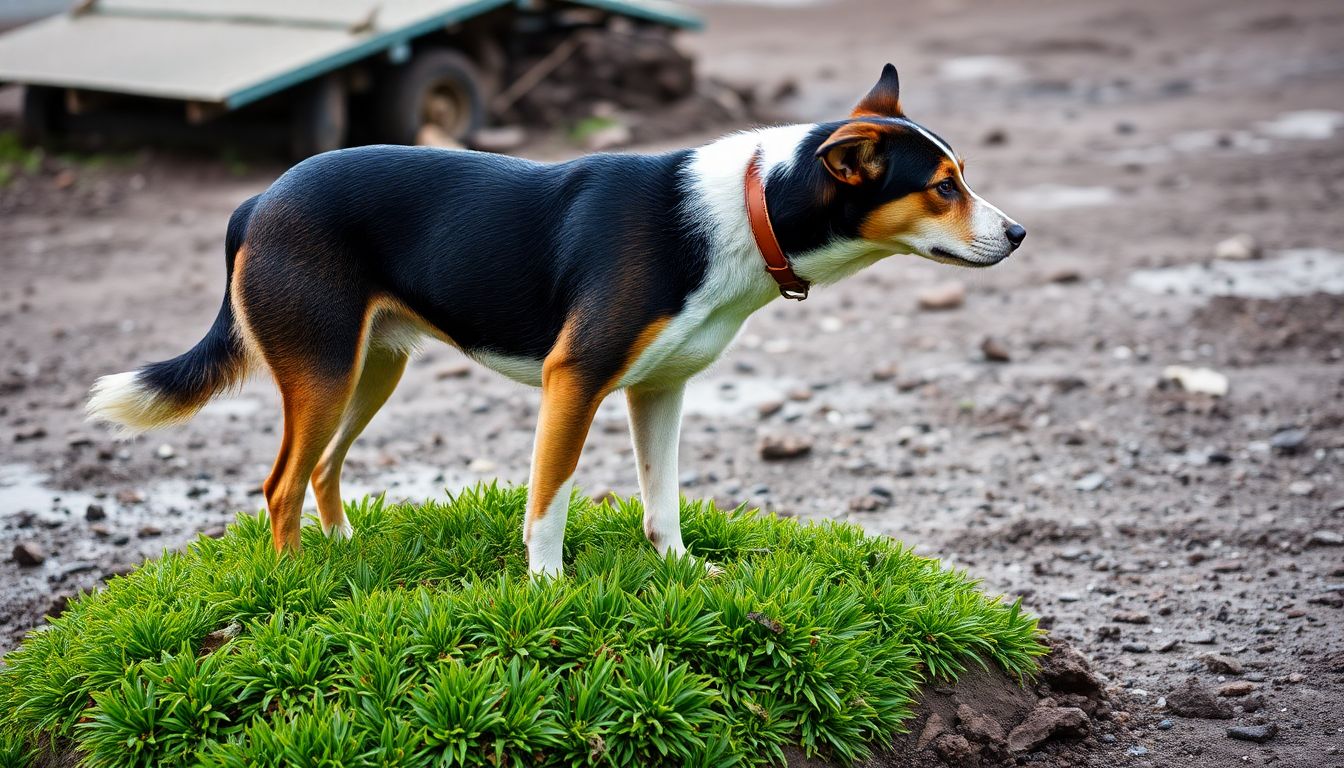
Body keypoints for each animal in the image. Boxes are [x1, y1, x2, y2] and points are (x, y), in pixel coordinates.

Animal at [84, 63, 1021, 572]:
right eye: (943, 188)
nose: (1017, 233)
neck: (747, 208)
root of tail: (259, 200)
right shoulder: (576, 381)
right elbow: (549, 501)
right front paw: (546, 589)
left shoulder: (660, 392)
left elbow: (663, 498)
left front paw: (682, 573)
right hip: (320, 370)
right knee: (280, 484)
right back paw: (297, 584)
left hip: (366, 371)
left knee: (319, 471)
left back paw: (344, 553)